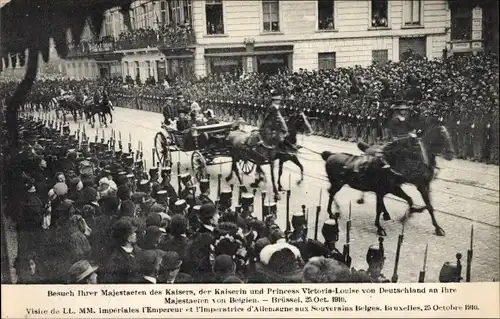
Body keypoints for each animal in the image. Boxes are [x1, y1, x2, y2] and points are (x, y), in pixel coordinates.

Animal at [322, 125, 456, 238]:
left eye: (449, 137)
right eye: (443, 137)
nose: (451, 154)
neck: (387, 163)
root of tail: (330, 155)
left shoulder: (406, 187)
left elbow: (420, 203)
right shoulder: (415, 185)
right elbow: (424, 205)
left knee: (331, 192)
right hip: (338, 183)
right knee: (331, 193)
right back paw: (335, 211)